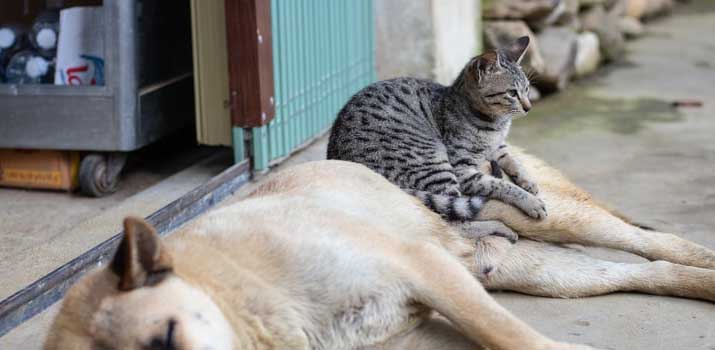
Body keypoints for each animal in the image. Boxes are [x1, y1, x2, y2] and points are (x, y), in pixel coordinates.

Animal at [328, 35, 544, 230]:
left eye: (527, 89)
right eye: (512, 93)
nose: (529, 107)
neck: (496, 125)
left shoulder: (499, 146)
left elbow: (513, 161)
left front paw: (527, 181)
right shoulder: (462, 169)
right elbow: (501, 185)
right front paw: (530, 201)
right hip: (434, 164)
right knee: (454, 223)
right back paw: (499, 228)